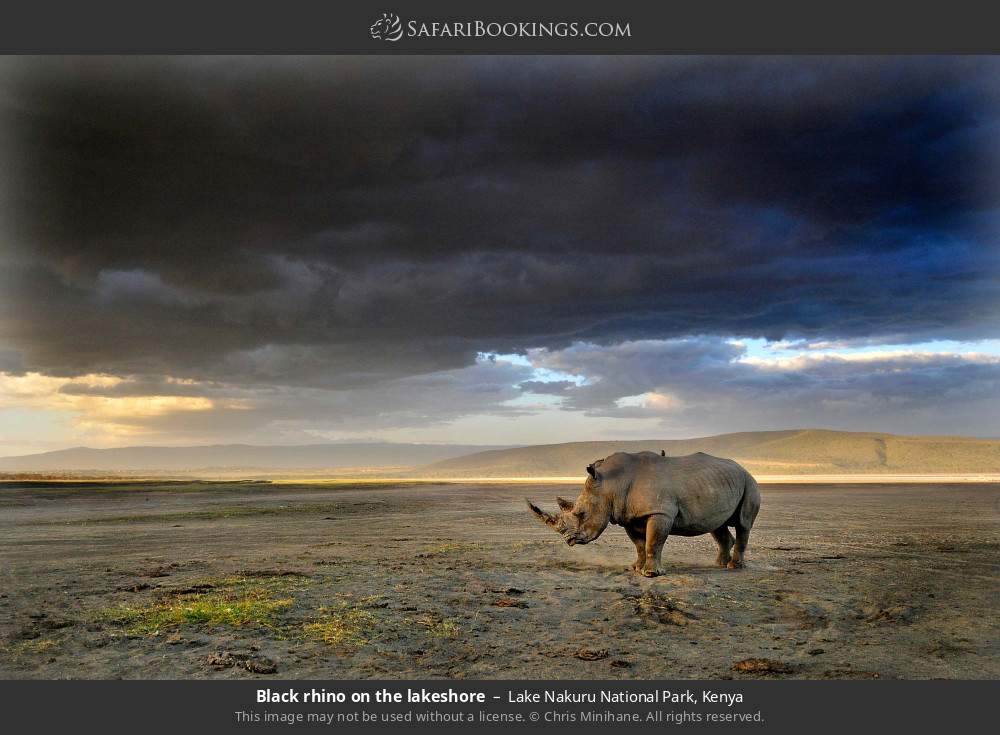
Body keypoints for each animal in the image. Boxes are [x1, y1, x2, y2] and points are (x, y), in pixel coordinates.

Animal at [527, 451, 760, 576]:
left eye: (581, 514)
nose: (568, 540)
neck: (610, 485)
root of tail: (743, 468)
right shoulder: (629, 517)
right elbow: (639, 545)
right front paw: (635, 568)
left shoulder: (660, 513)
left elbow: (653, 543)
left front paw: (651, 574)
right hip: (721, 483)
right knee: (717, 526)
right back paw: (719, 564)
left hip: (749, 482)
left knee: (743, 524)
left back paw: (734, 567)